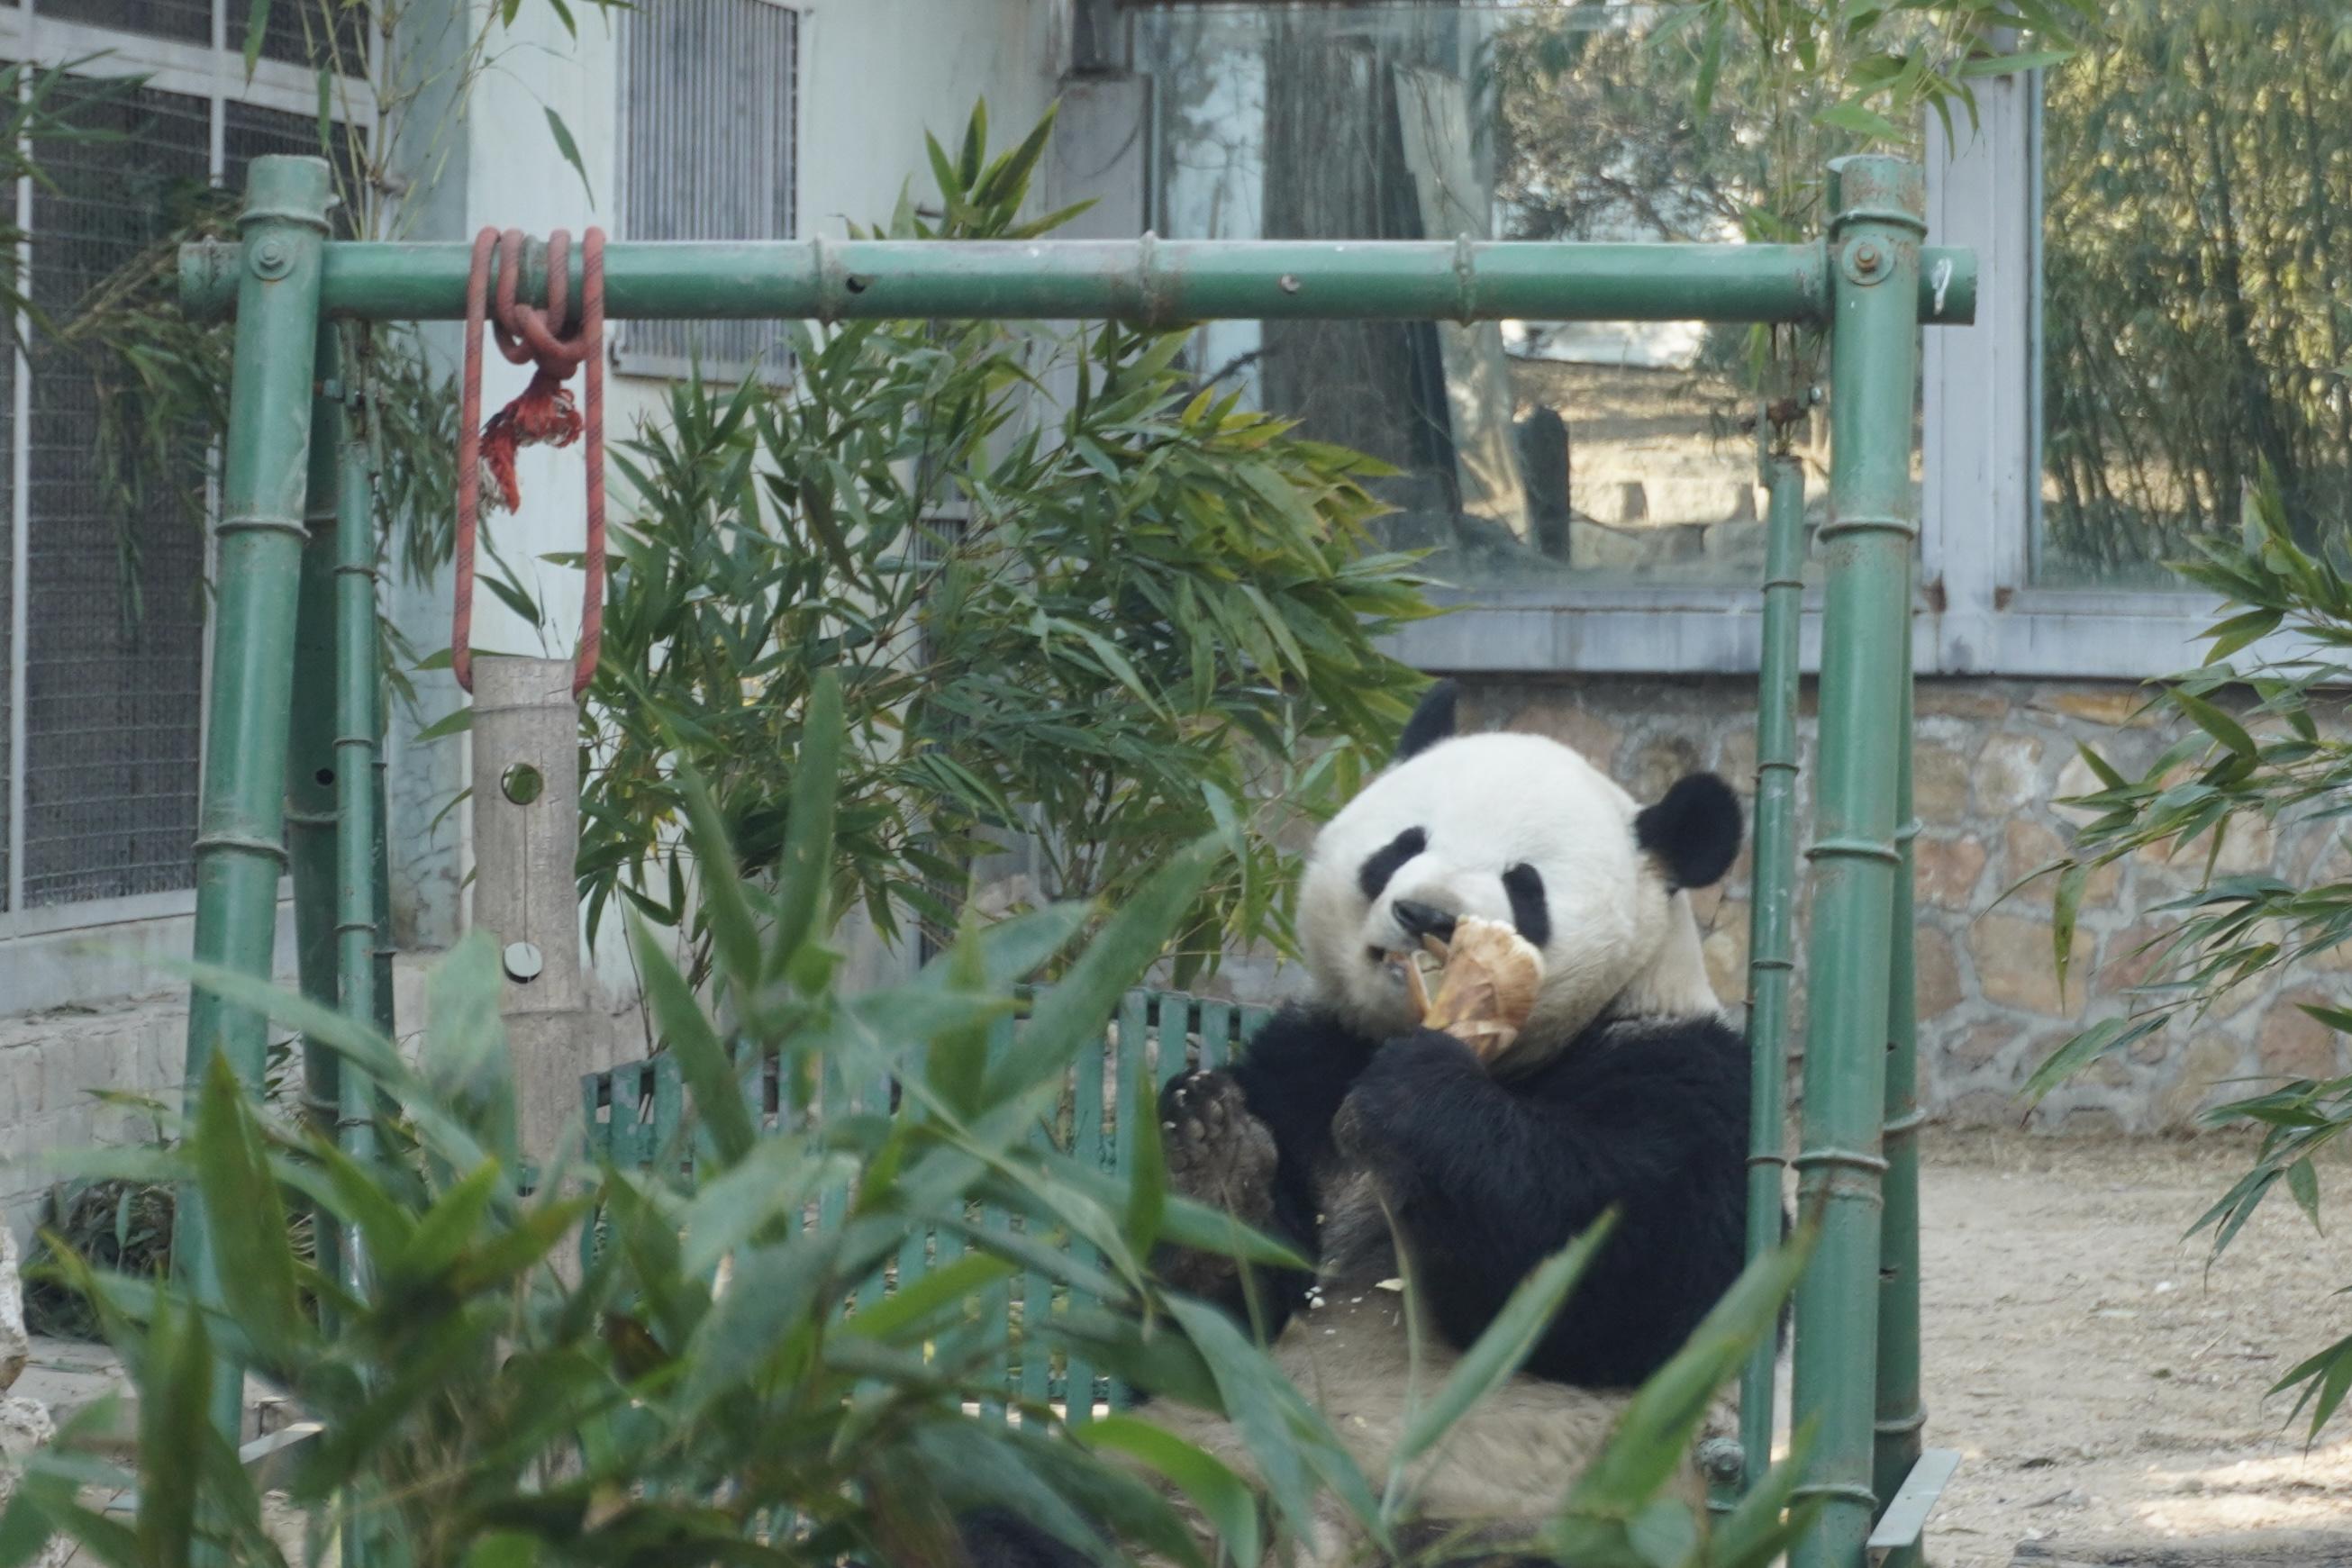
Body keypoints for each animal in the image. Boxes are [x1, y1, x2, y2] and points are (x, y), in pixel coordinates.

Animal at [959, 686, 1768, 1568]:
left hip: (1548, 1509)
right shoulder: (1306, 1061)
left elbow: (1626, 1281)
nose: (1424, 914)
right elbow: (1203, 1330)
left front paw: (1417, 1100)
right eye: (1402, 845)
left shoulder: (1687, 1077)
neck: (1509, 1055)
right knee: (1016, 1507)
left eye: (1524, 884)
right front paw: (1213, 1160)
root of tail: (1311, 1525)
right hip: (1166, 1468)